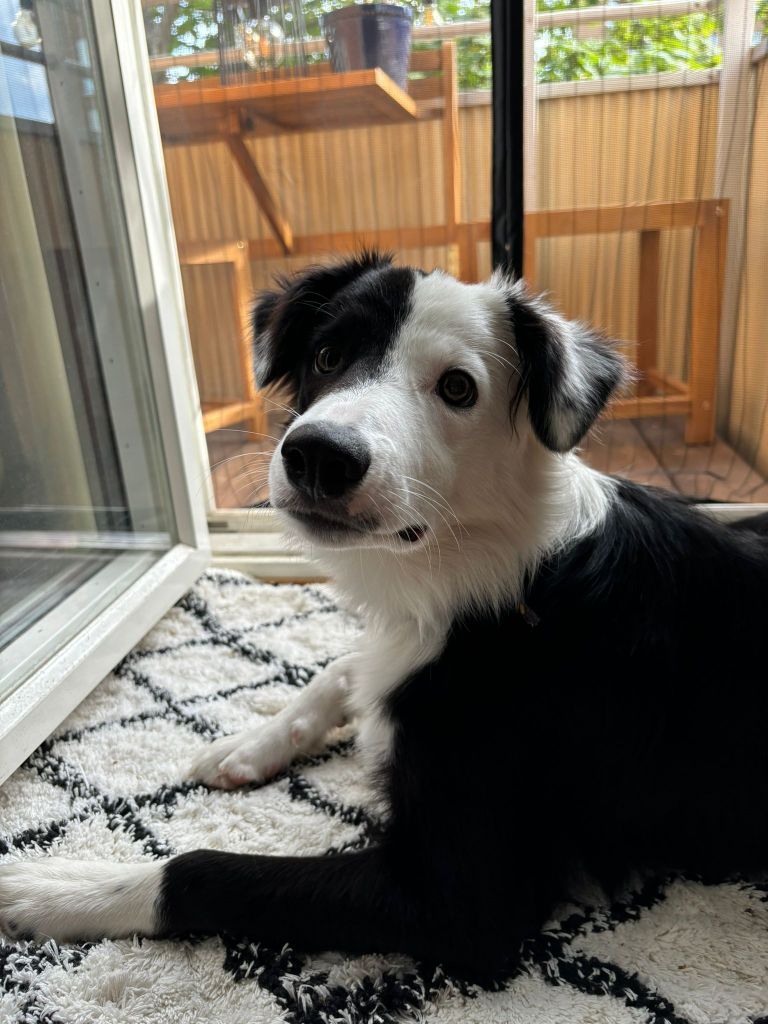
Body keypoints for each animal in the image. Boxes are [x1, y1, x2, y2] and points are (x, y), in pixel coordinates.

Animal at [1, 252, 767, 977]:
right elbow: (343, 668)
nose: (318, 456)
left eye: (458, 388)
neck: (489, 571)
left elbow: (205, 870)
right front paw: (249, 744)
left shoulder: (461, 898)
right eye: (327, 356)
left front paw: (63, 886)